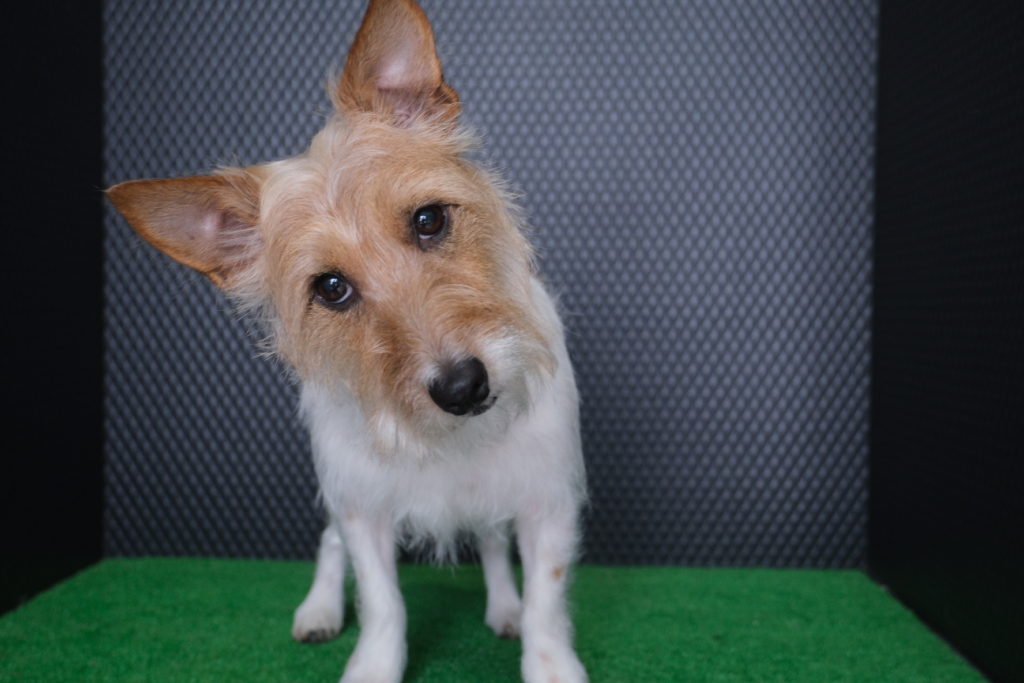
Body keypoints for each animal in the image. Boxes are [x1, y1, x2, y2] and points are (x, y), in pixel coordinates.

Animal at [107, 1, 587, 681]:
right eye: (331, 288)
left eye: (429, 219)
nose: (462, 387)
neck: (448, 441)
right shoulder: (364, 508)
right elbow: (383, 603)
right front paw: (372, 664)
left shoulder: (547, 500)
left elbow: (546, 603)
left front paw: (546, 657)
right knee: (329, 543)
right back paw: (320, 609)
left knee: (493, 545)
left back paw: (503, 606)